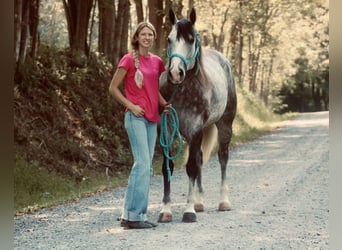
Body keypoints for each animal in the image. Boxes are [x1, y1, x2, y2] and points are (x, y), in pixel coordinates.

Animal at [159, 7, 236, 223]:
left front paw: (188, 211)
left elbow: (191, 167)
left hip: (225, 125)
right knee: (200, 157)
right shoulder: (167, 130)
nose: (176, 73)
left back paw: (224, 202)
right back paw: (200, 202)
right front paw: (166, 211)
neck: (183, 91)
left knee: (222, 157)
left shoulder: (195, 130)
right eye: (169, 39)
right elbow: (167, 167)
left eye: (191, 39)